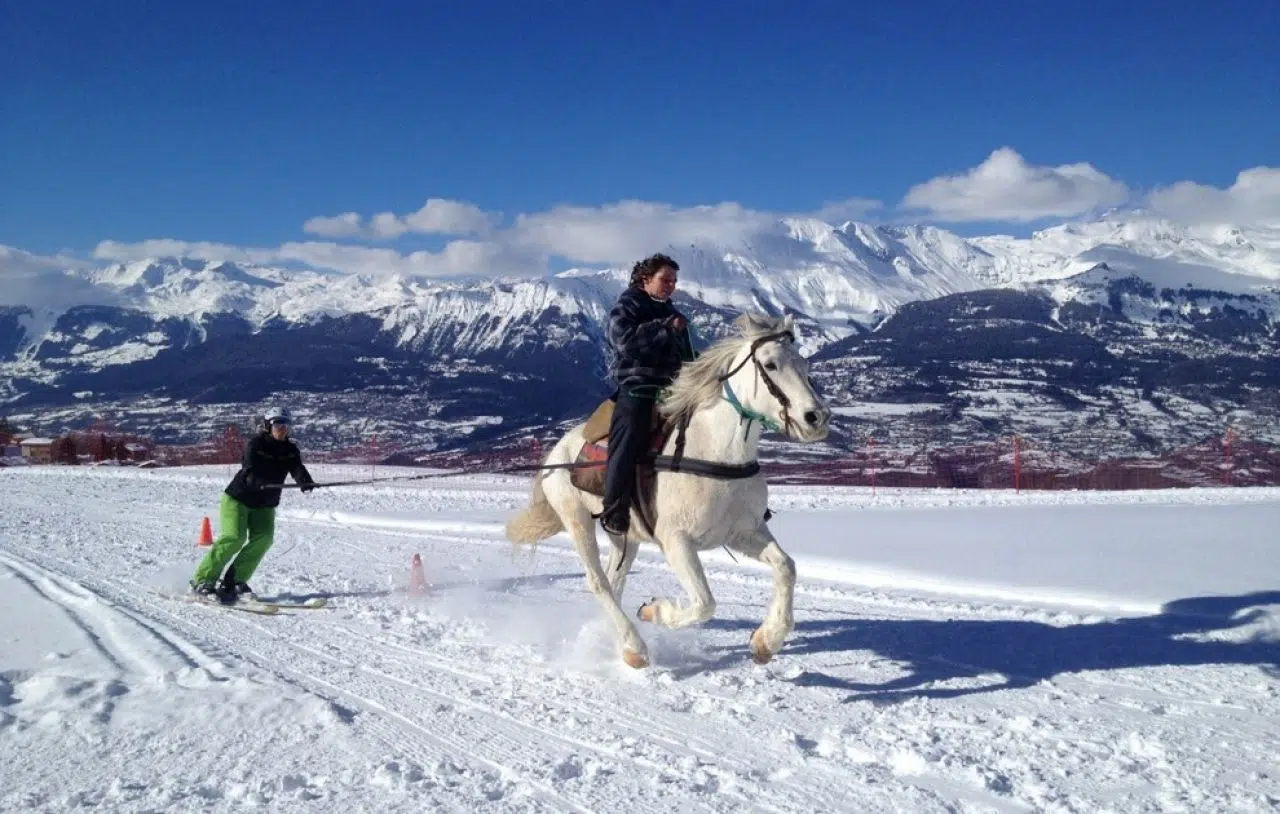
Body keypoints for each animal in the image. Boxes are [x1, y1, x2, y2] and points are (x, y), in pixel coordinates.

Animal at [504, 311, 834, 665]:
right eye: (770, 364)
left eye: (803, 364)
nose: (816, 417)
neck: (715, 451)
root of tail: (556, 452)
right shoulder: (676, 539)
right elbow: (704, 603)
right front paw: (652, 611)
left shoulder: (743, 532)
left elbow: (786, 567)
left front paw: (766, 641)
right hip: (577, 521)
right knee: (598, 582)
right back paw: (634, 648)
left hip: (624, 535)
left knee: (615, 580)